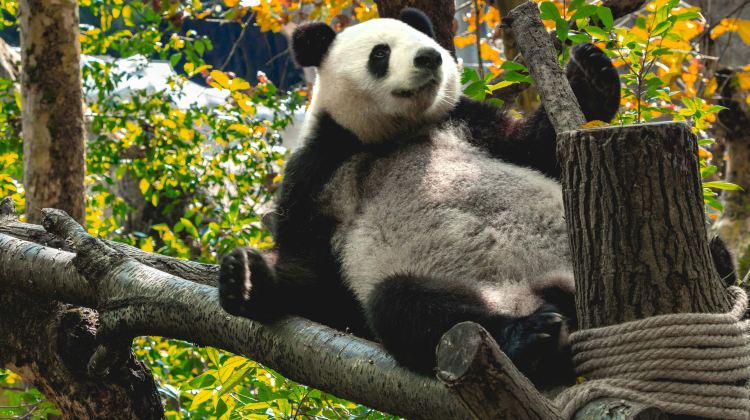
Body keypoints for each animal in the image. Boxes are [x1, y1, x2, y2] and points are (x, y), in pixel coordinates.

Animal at [218, 8, 738, 388]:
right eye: (381, 53)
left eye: (422, 40)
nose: (430, 57)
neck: (390, 135)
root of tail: (562, 295)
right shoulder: (320, 170)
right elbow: (318, 282)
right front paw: (244, 278)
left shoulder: (469, 122)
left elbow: (537, 147)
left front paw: (591, 71)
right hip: (466, 291)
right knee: (409, 308)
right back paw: (530, 338)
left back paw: (717, 262)